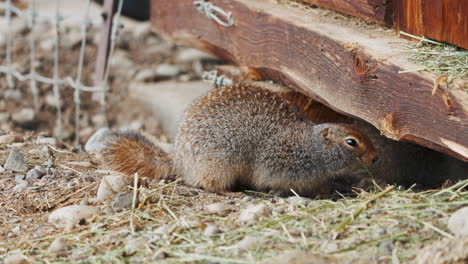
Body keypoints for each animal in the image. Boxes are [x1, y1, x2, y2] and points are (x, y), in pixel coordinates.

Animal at [104, 84, 378, 196]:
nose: (376, 158)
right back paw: (231, 193)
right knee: (209, 185)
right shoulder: (280, 164)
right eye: (352, 142)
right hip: (219, 163)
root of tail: (177, 158)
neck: (310, 148)